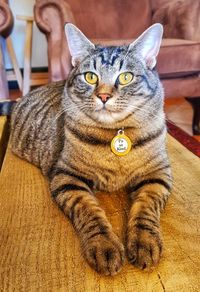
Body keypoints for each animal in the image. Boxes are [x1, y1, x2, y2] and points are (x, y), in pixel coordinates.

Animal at [10, 23, 172, 276]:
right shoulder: (67, 177)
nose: (103, 95)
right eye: (90, 76)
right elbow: (89, 211)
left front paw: (144, 241)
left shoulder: (157, 175)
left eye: (126, 77)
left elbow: (146, 208)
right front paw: (104, 246)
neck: (116, 133)